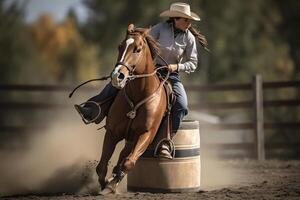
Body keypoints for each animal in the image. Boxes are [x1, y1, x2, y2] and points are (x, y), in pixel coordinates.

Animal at [97, 23, 169, 194]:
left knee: (125, 157)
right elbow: (102, 166)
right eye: (119, 46)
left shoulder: (146, 134)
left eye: (138, 49)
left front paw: (111, 184)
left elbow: (128, 163)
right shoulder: (112, 132)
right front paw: (105, 184)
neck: (139, 95)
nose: (117, 76)